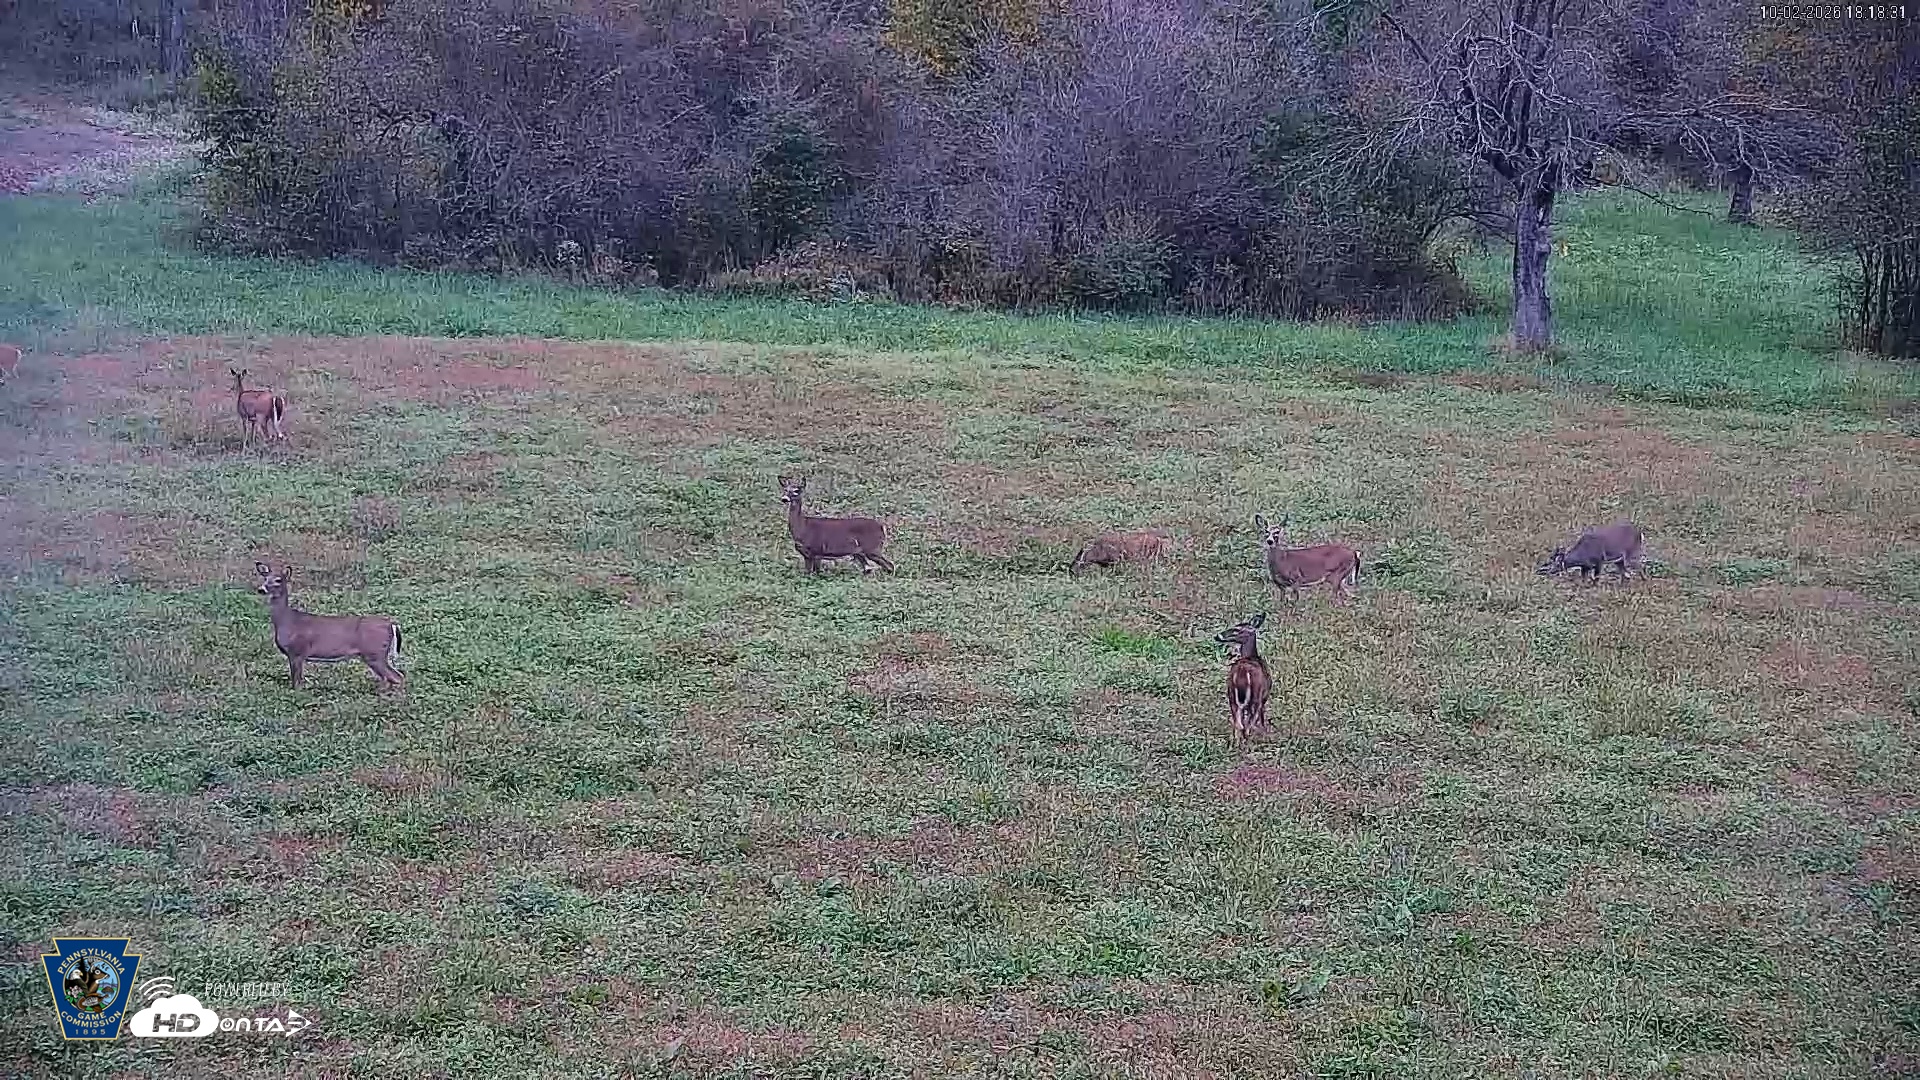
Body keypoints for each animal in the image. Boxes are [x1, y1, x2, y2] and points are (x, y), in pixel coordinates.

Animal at [253, 562, 404, 691]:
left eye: (278, 580)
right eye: (265, 578)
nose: (261, 589)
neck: (287, 621)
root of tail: (391, 624)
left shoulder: (297, 652)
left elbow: (297, 683)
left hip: (375, 654)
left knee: (397, 677)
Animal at [1216, 613, 1273, 750]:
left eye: (1236, 629)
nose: (1217, 636)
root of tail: (1242, 673)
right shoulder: (1264, 696)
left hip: (1231, 696)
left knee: (1238, 723)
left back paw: (1236, 745)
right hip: (1256, 697)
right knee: (1247, 725)